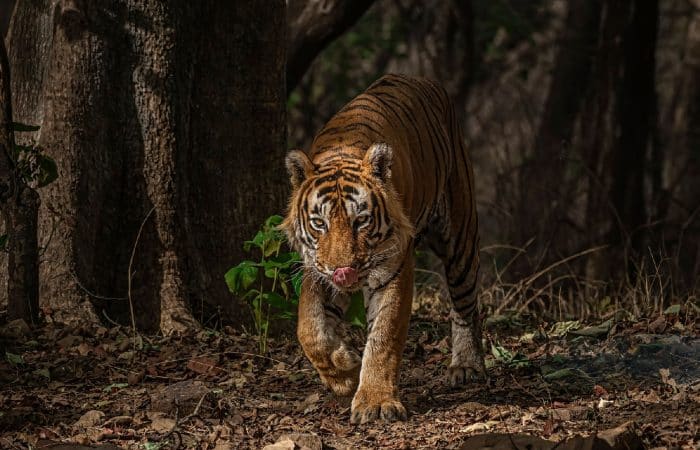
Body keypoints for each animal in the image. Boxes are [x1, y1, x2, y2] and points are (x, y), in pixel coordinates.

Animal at [281, 73, 485, 424]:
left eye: (360, 221)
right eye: (319, 223)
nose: (343, 271)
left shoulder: (395, 269)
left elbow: (383, 337)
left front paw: (375, 402)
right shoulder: (317, 269)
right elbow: (309, 329)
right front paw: (344, 371)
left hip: (460, 238)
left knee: (465, 305)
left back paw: (466, 365)